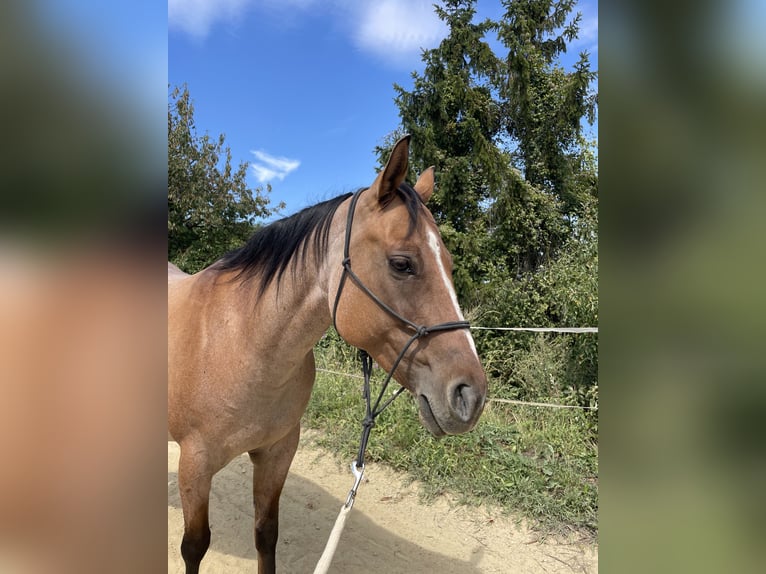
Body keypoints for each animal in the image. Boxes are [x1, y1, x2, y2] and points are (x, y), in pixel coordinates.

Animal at [168, 135, 487, 574]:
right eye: (402, 263)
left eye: (451, 265)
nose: (471, 394)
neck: (240, 343)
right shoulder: (195, 466)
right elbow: (194, 546)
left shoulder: (278, 453)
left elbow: (266, 534)